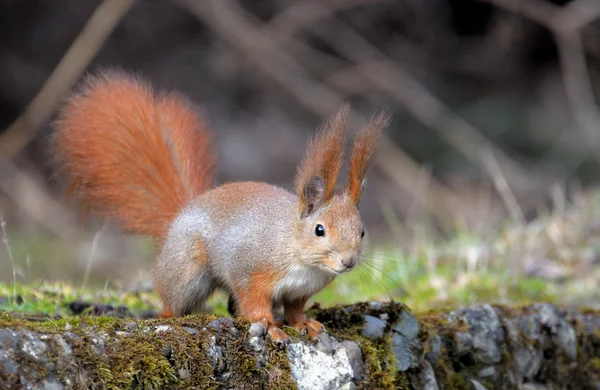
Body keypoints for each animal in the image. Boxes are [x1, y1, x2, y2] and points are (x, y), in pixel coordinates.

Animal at [51, 71, 390, 344]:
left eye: (362, 231)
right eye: (320, 230)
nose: (348, 261)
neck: (296, 250)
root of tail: (179, 215)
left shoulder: (299, 292)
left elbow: (294, 310)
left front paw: (303, 324)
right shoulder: (250, 272)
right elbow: (254, 305)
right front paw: (271, 327)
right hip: (188, 269)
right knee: (174, 301)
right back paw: (166, 315)